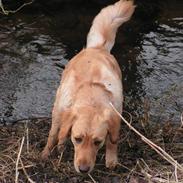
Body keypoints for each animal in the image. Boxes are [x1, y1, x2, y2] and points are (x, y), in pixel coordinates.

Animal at [41, 0, 135, 174]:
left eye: (98, 142)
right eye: (77, 139)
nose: (84, 169)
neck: (91, 91)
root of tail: (98, 47)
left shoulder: (116, 113)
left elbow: (113, 140)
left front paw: (111, 159)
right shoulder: (58, 110)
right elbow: (53, 134)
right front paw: (45, 153)